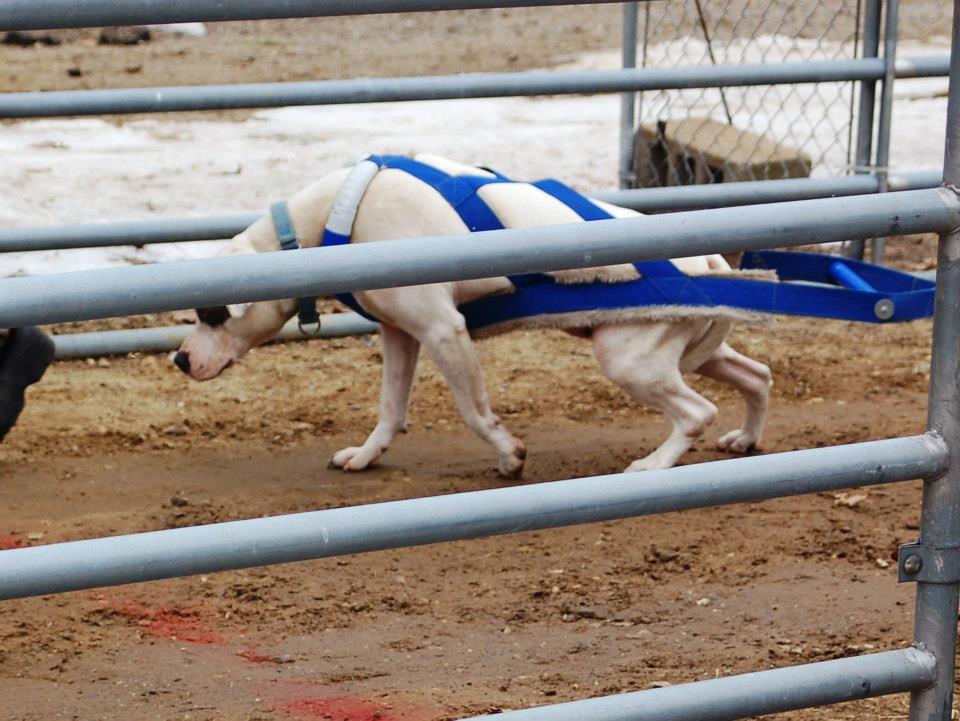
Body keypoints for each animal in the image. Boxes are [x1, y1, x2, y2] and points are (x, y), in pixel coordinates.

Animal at [174, 155, 772, 476]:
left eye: (213, 314)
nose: (179, 360)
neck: (333, 218)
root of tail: (709, 259)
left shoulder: (444, 332)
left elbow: (475, 412)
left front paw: (510, 455)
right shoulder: (400, 334)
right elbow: (389, 409)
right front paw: (366, 456)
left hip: (629, 360)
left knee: (695, 412)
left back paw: (652, 465)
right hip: (685, 352)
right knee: (757, 376)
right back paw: (745, 440)